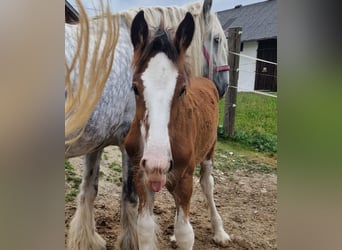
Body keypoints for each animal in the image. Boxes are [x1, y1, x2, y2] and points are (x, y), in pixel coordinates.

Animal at [123, 10, 230, 250]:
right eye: (134, 87)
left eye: (182, 89)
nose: (158, 162)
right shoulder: (141, 175)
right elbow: (145, 228)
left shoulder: (185, 178)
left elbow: (185, 233)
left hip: (208, 152)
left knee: (207, 185)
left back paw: (220, 231)